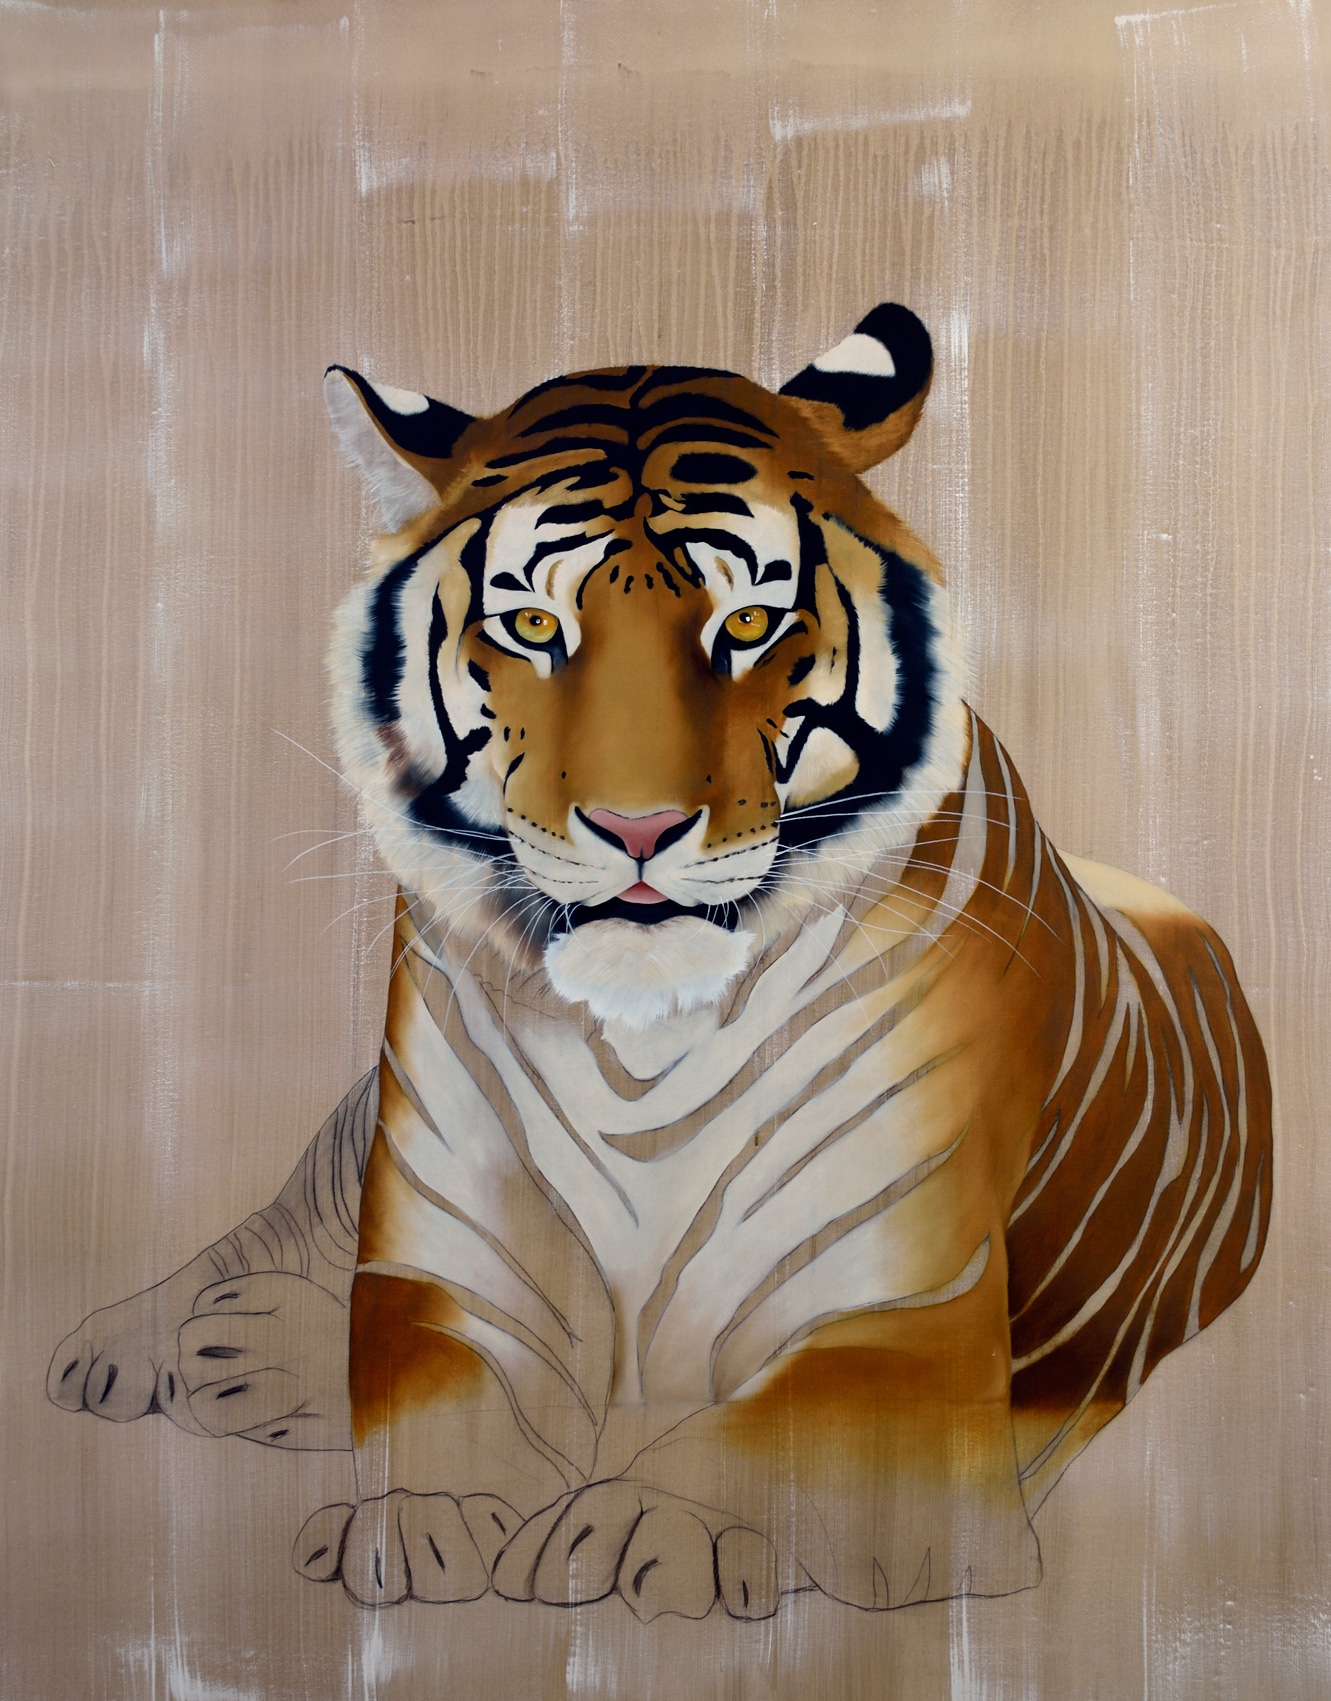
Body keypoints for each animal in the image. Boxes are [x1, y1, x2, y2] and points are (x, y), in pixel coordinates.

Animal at [49, 302, 1271, 1622]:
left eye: (747, 625)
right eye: (534, 624)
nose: (637, 832)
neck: (637, 1049)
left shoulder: (903, 1327)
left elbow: (759, 1429)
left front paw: (646, 1521)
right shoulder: (437, 1269)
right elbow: (420, 1378)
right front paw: (427, 1515)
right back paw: (167, 1344)